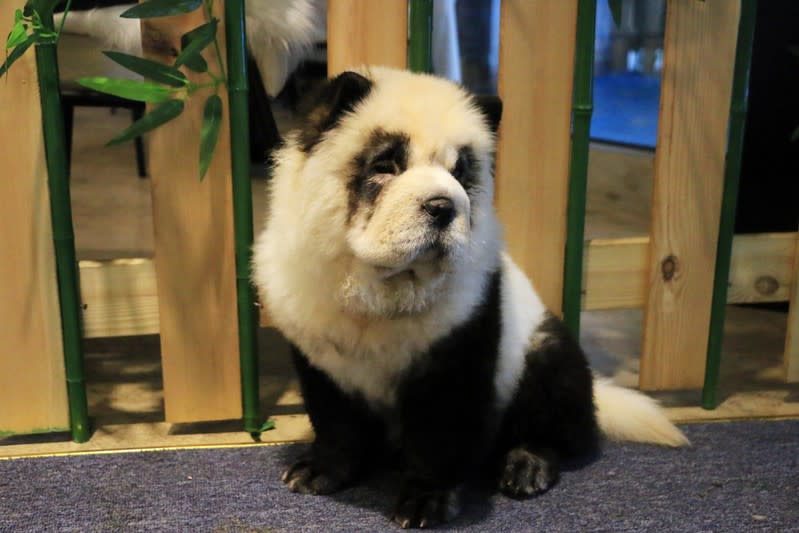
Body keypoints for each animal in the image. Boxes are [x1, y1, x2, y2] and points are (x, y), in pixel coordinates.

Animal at [252, 66, 688, 528]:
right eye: (386, 166)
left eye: (460, 173)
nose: (443, 206)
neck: (382, 290)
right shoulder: (319, 351)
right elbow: (335, 420)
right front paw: (319, 471)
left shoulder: (459, 344)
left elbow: (440, 433)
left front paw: (426, 501)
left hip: (542, 351)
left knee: (560, 425)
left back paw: (527, 464)